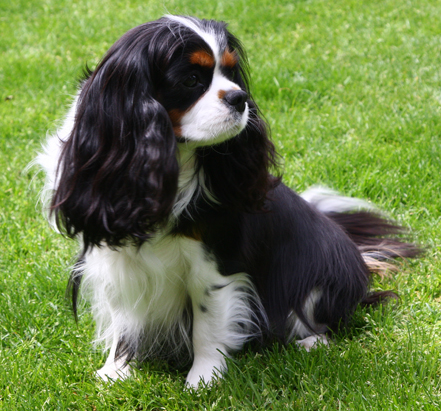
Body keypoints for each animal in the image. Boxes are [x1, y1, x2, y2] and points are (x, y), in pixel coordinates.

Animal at [36, 16, 418, 388]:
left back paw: (311, 340)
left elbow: (208, 324)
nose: (240, 97)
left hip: (317, 274)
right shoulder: (116, 256)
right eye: (191, 79)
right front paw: (116, 370)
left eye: (232, 75)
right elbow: (125, 317)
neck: (165, 162)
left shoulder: (214, 265)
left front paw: (203, 379)